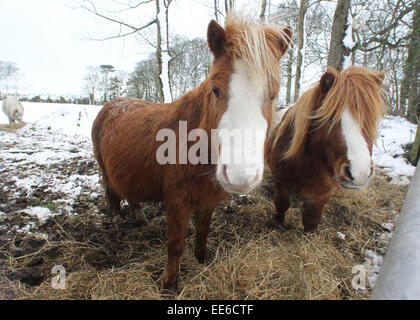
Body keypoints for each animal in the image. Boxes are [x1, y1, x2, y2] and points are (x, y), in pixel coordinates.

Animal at [91, 15, 292, 296]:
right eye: (215, 89)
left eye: (273, 93)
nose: (240, 176)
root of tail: (110, 105)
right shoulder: (177, 202)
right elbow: (175, 245)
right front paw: (169, 284)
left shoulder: (208, 198)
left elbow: (203, 231)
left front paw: (201, 259)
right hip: (104, 170)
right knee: (112, 197)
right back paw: (118, 227)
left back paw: (140, 218)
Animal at [268, 67, 386, 232]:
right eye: (330, 118)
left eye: (370, 120)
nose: (359, 173)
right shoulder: (281, 184)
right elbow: (281, 206)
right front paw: (277, 224)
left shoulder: (321, 194)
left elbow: (311, 220)